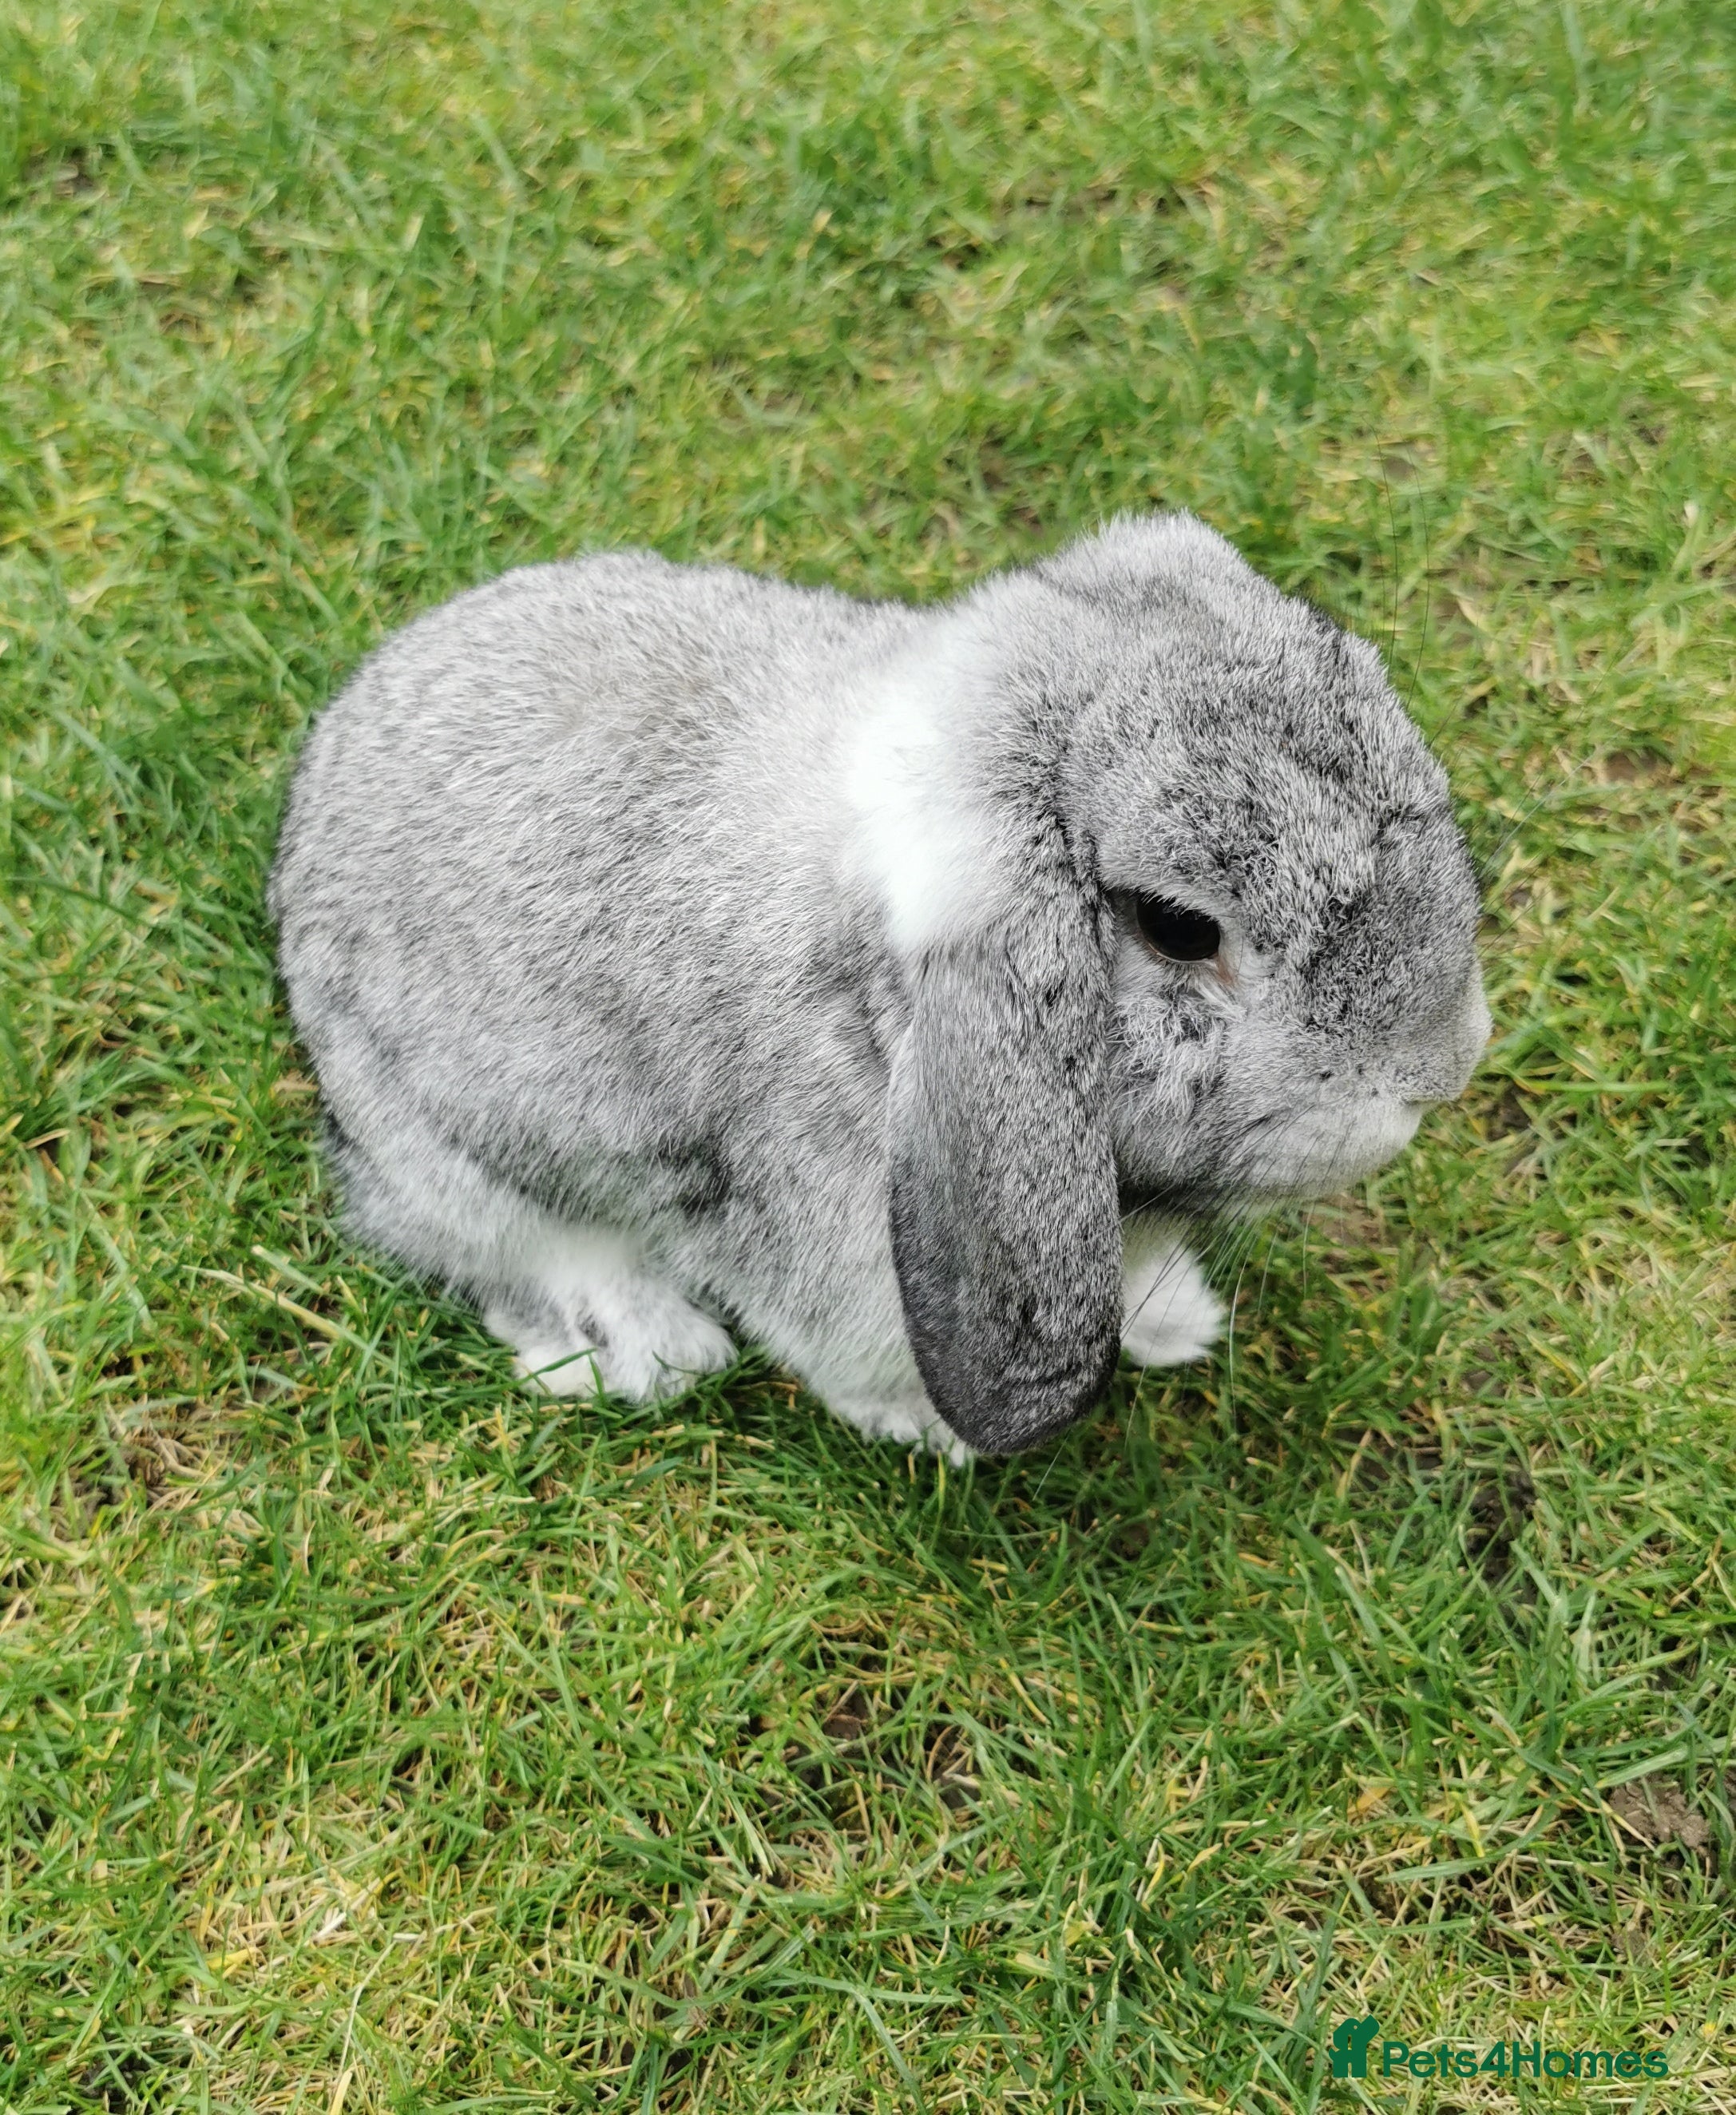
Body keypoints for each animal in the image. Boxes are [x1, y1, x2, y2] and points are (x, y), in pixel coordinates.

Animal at [268, 512, 1490, 1459]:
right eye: (1180, 928)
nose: (1440, 1069)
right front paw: (931, 1430)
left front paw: (1174, 1322)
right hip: (453, 1156)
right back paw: (651, 1347)